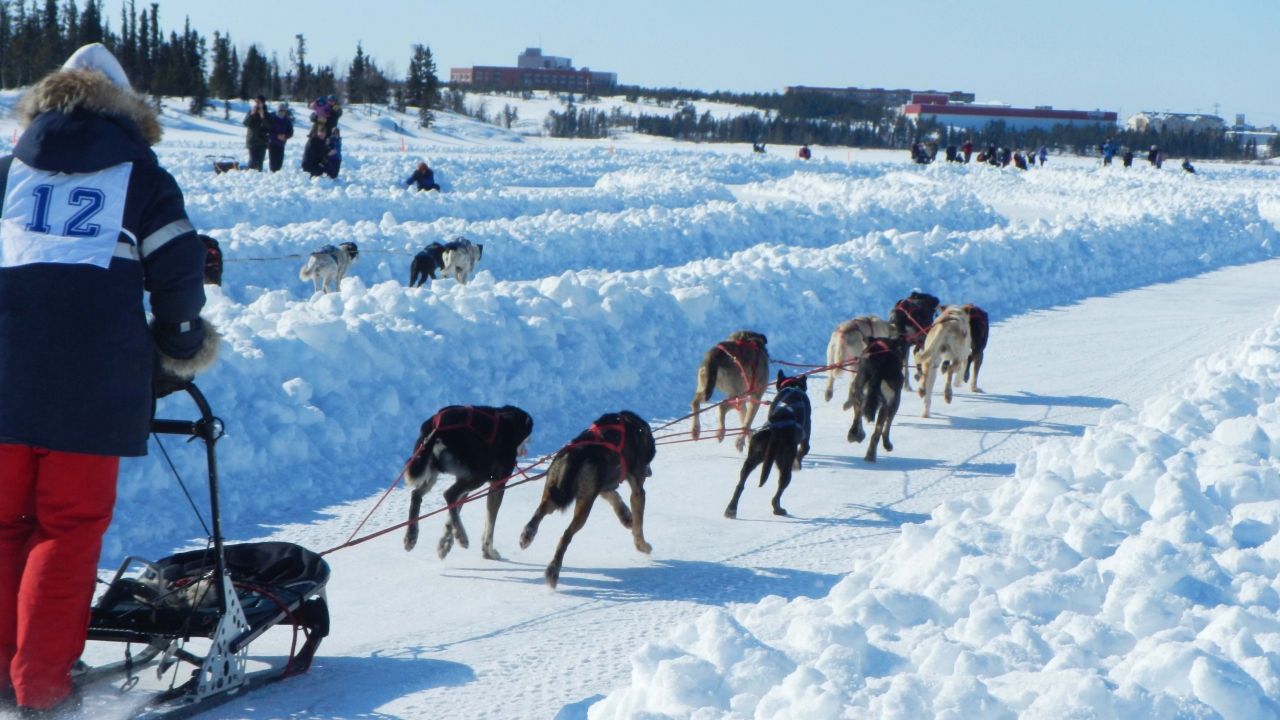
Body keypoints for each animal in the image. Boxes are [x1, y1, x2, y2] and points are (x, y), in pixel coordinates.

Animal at [404, 404, 535, 561]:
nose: (529, 444)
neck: (507, 424)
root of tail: (438, 429)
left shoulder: (463, 480)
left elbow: (453, 514)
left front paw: (445, 543)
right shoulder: (497, 483)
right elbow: (490, 524)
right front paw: (488, 552)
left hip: (434, 473)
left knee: (416, 495)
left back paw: (411, 536)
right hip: (479, 475)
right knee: (449, 494)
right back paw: (461, 536)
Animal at [519, 412, 660, 586]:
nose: (650, 472)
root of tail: (578, 452)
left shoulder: (601, 486)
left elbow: (615, 497)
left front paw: (626, 516)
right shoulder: (637, 491)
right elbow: (638, 526)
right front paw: (642, 545)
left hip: (555, 492)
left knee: (539, 513)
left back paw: (527, 535)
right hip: (583, 506)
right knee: (566, 535)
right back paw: (553, 570)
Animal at [727, 368, 814, 515]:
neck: (792, 388)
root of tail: (775, 430)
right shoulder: (805, 435)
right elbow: (804, 450)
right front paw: (798, 464)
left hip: (752, 458)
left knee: (741, 484)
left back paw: (731, 509)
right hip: (785, 461)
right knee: (780, 487)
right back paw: (778, 508)